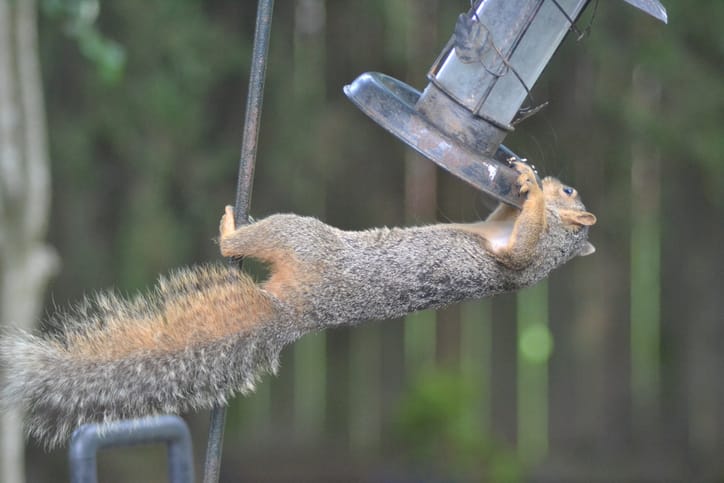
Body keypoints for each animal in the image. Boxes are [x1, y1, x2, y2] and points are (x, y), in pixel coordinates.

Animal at [0, 162, 595, 449]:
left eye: (571, 194)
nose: (554, 181)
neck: (560, 248)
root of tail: (295, 312)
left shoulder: (524, 259)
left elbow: (520, 248)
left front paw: (530, 189)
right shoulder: (492, 228)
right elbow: (499, 217)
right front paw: (521, 180)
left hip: (297, 234)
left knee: (247, 242)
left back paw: (229, 232)